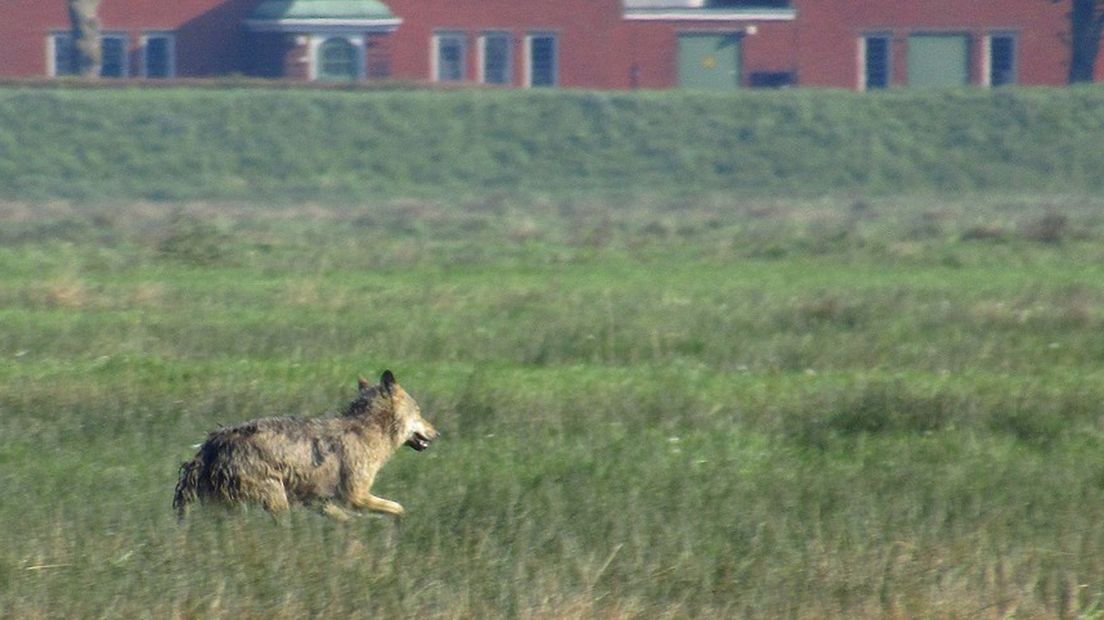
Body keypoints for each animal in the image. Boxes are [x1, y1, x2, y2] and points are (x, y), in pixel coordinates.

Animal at [172, 368, 434, 522]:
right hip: (276, 502)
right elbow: (398, 508)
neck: (367, 430)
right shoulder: (355, 496)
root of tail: (208, 446)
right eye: (419, 411)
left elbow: (347, 522)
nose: (437, 432)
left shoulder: (320, 501)